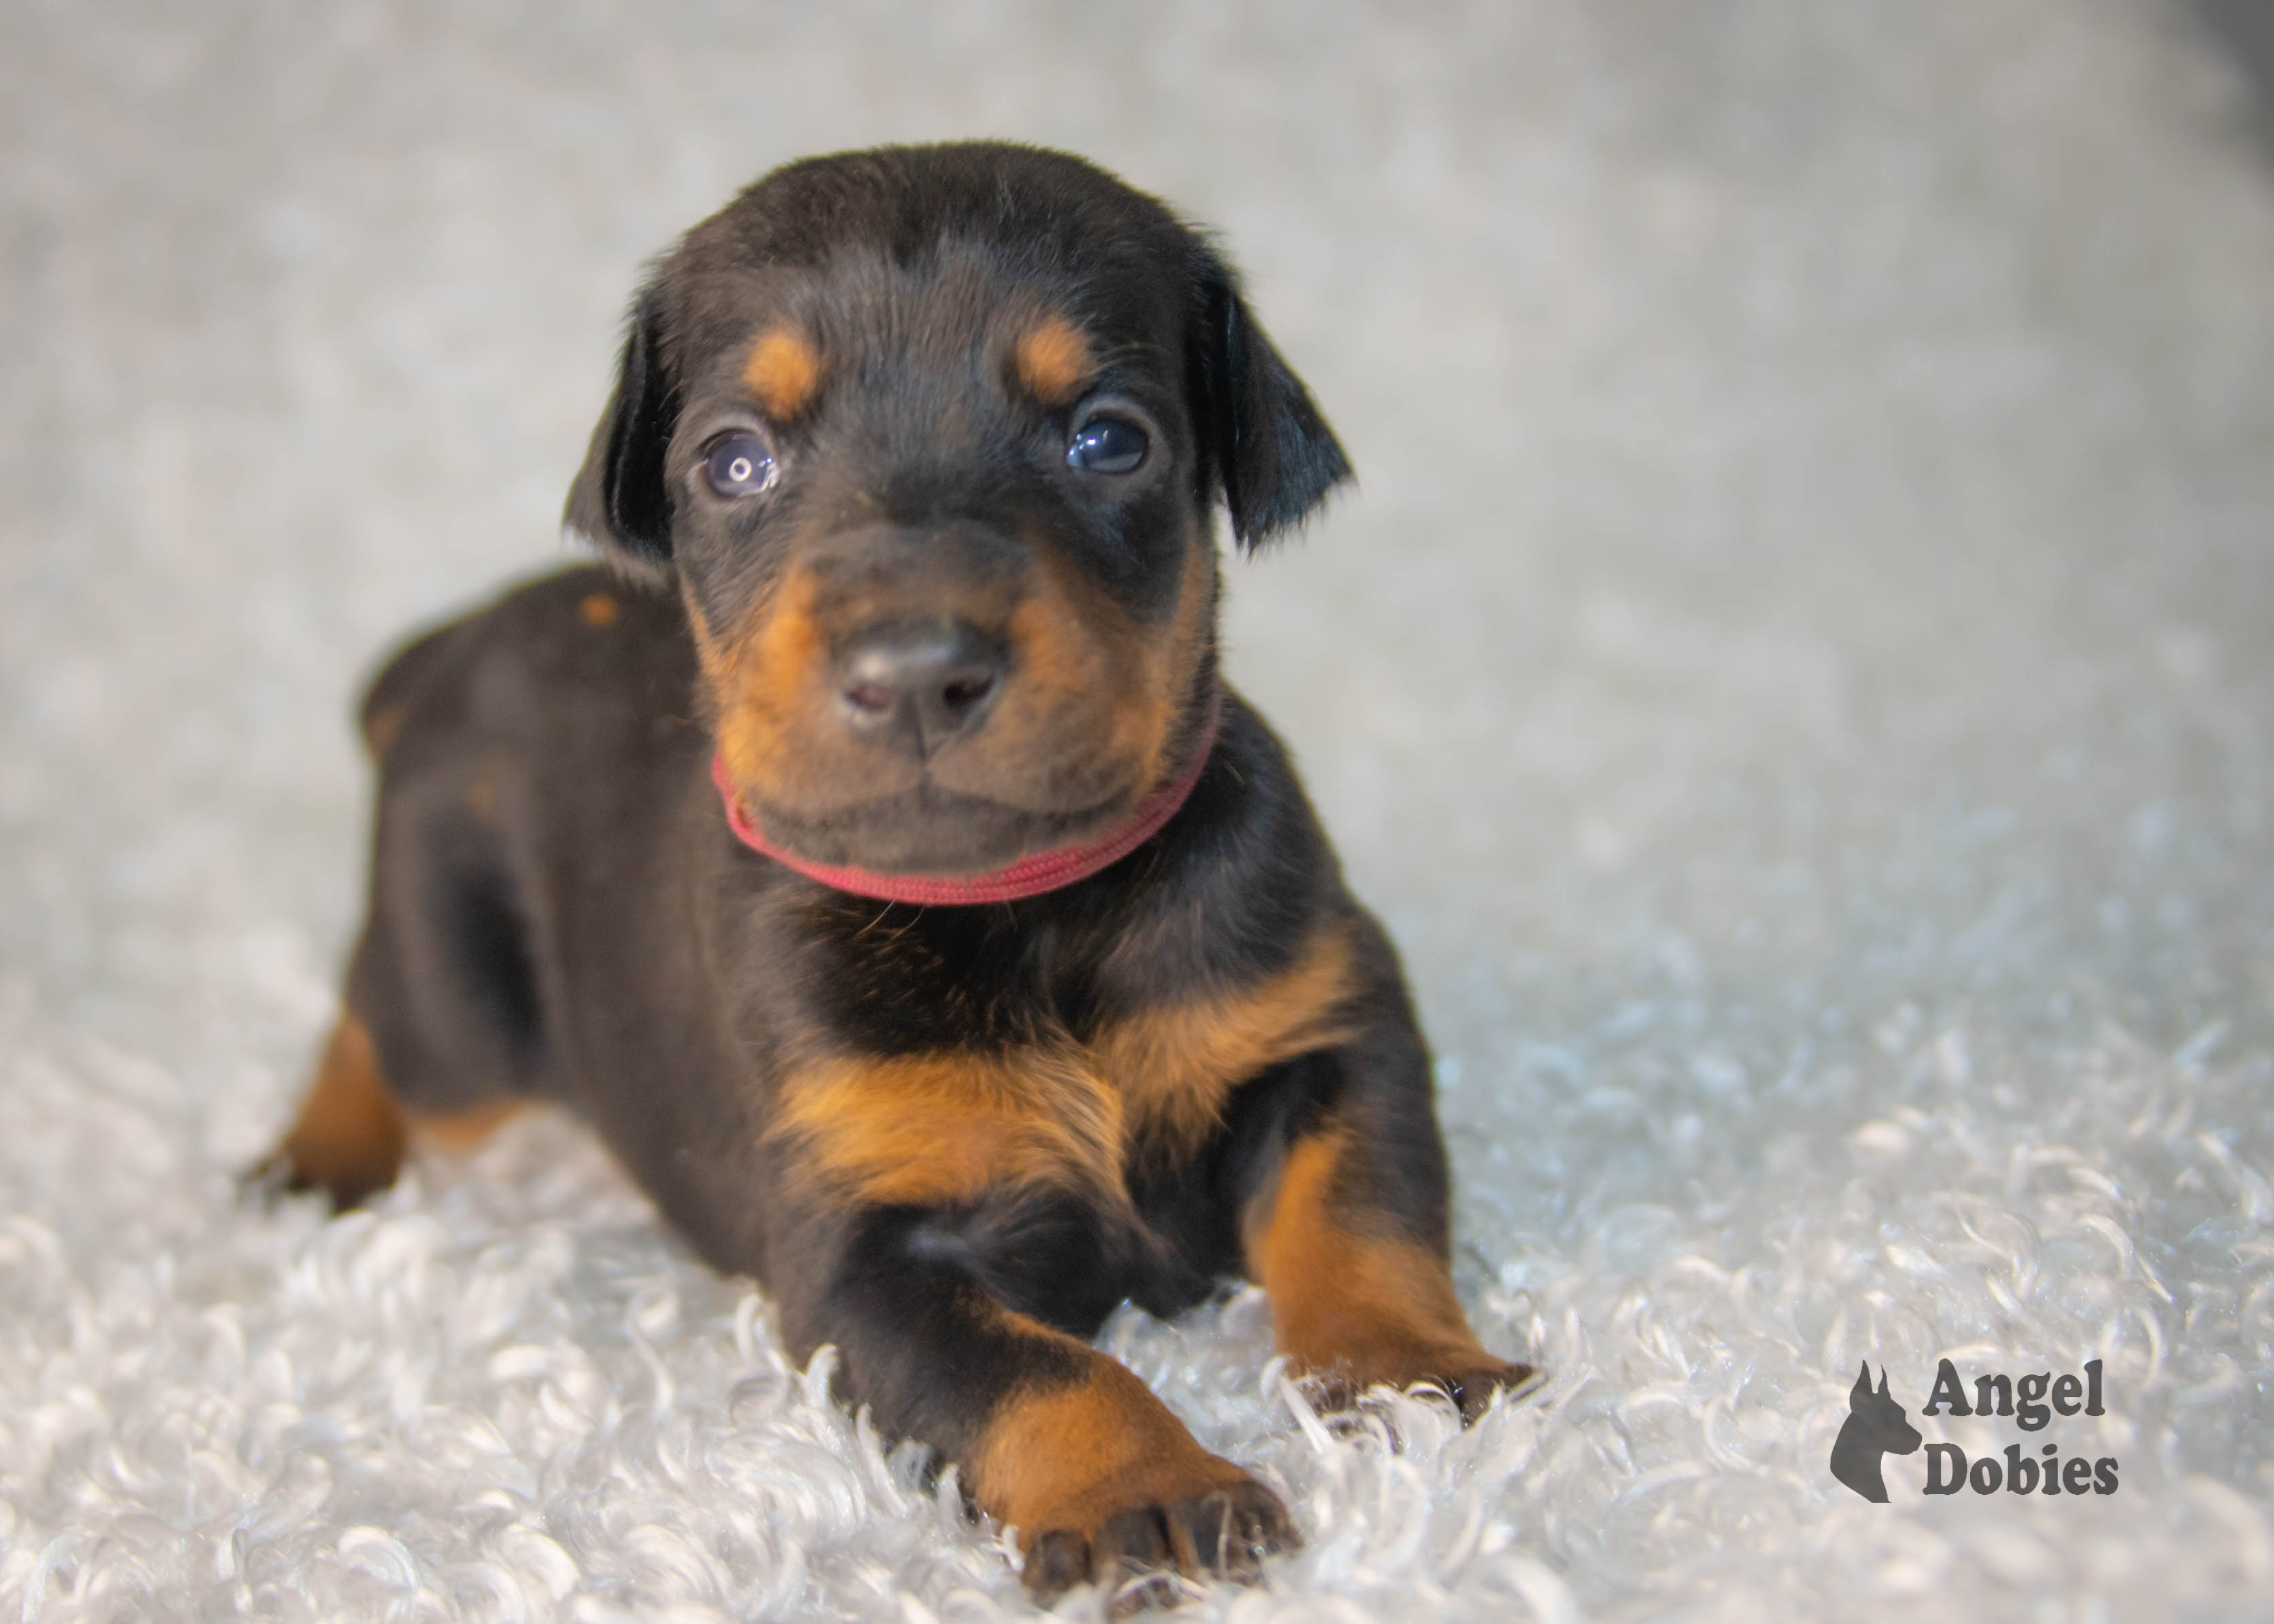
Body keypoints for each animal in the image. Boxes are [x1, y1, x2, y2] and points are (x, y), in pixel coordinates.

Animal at [271, 139, 1546, 1592]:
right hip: (463, 998)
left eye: (1110, 438)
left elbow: (1358, 1212)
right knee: (374, 1013)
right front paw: (1148, 1487)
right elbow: (1038, 1370)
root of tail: (457, 643)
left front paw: (1410, 1368)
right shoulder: (860, 1259)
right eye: (735, 460)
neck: (1023, 902)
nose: (917, 669)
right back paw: (314, 1154)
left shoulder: (1332, 1023)